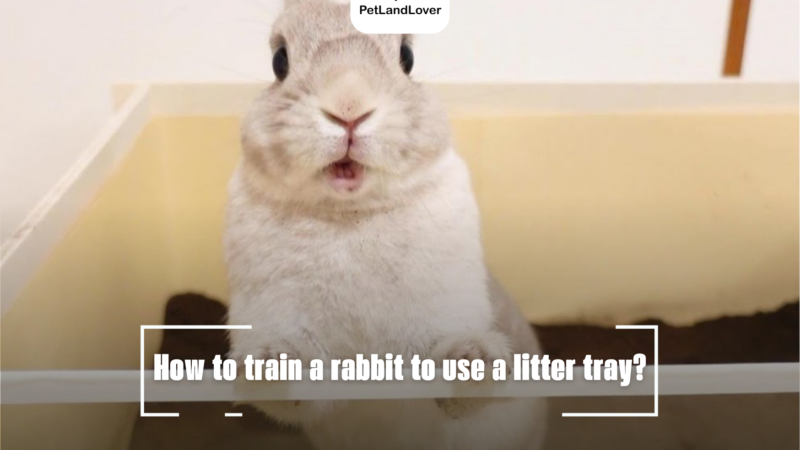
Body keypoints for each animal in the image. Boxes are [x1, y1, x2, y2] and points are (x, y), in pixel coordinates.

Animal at [224, 0, 547, 449]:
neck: (351, 213)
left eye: (407, 57)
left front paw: (475, 359)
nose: (348, 105)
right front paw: (269, 363)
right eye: (279, 61)